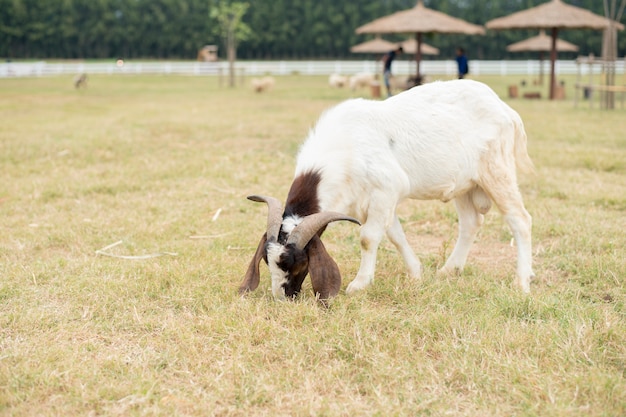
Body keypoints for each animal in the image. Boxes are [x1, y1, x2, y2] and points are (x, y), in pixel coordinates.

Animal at [241, 78, 532, 300]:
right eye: (267, 260)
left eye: (298, 262)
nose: (282, 296)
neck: (344, 146)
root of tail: (506, 110)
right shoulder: (370, 200)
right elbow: (395, 235)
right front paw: (416, 273)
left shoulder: (386, 189)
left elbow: (368, 238)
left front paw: (359, 284)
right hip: (465, 184)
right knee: (471, 223)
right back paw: (449, 271)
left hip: (497, 170)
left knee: (520, 219)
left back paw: (522, 281)